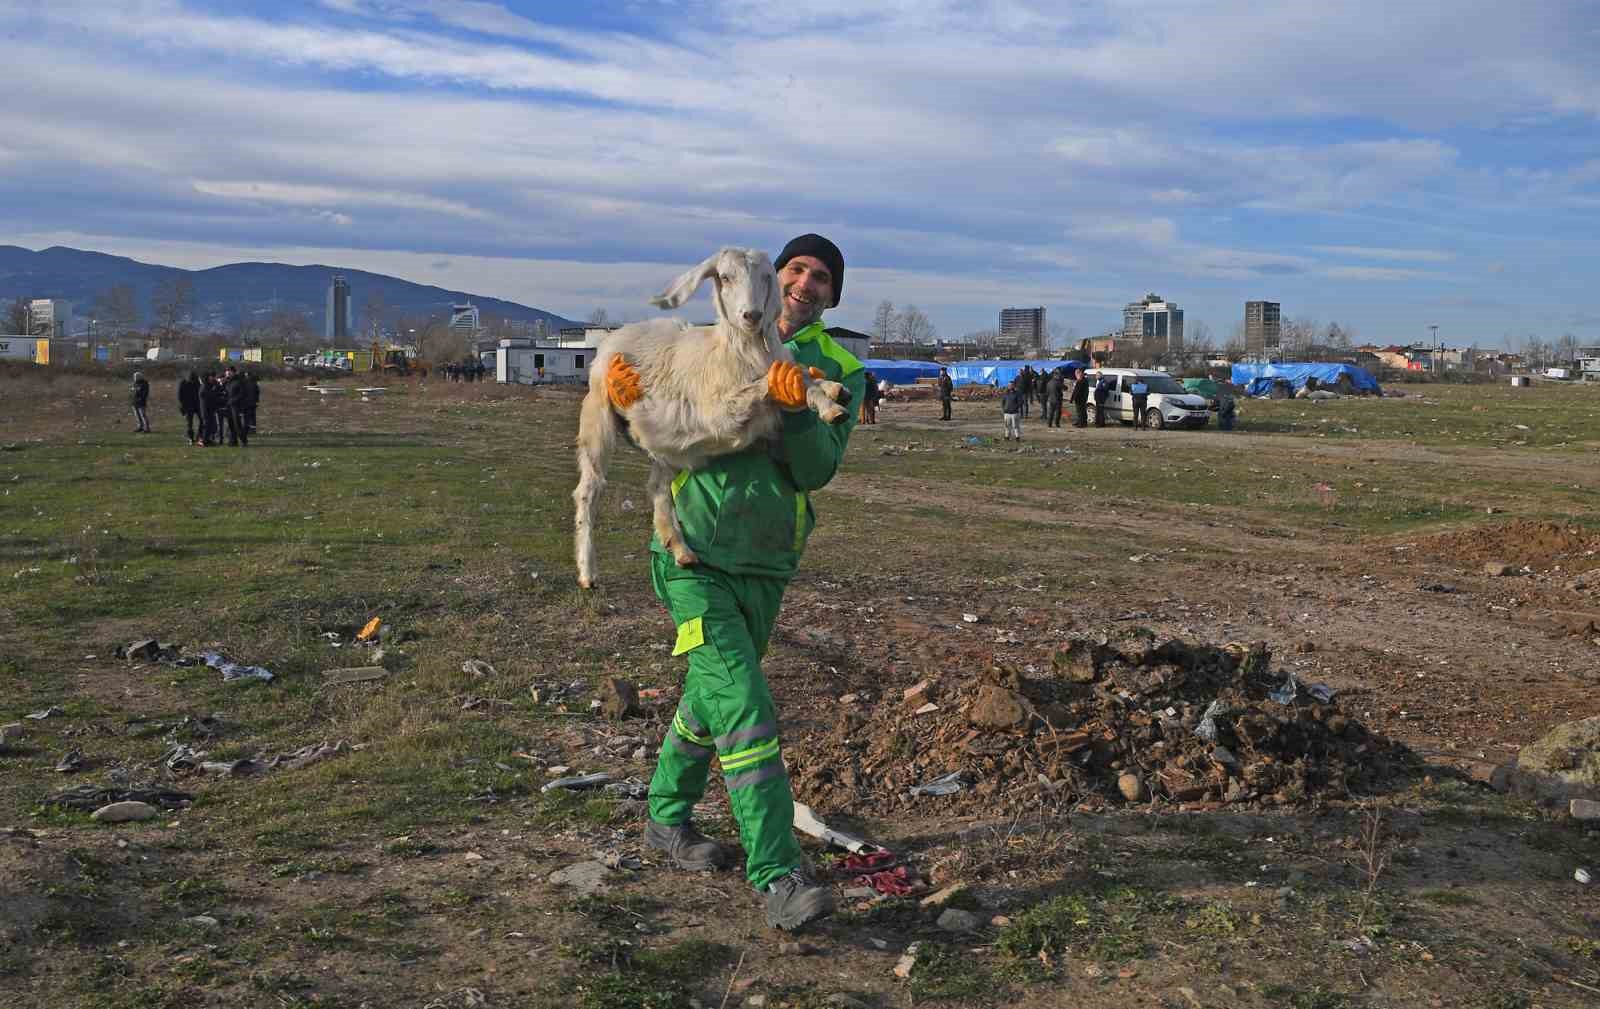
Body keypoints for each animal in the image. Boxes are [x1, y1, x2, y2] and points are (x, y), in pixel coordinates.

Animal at [572, 246, 851, 591]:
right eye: (725, 277)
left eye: (765, 276)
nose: (752, 316)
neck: (739, 350)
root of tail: (612, 337)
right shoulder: (722, 413)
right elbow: (782, 381)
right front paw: (830, 406)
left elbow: (799, 373)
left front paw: (837, 390)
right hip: (598, 415)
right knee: (589, 489)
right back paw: (588, 572)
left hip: (669, 443)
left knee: (657, 488)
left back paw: (681, 550)